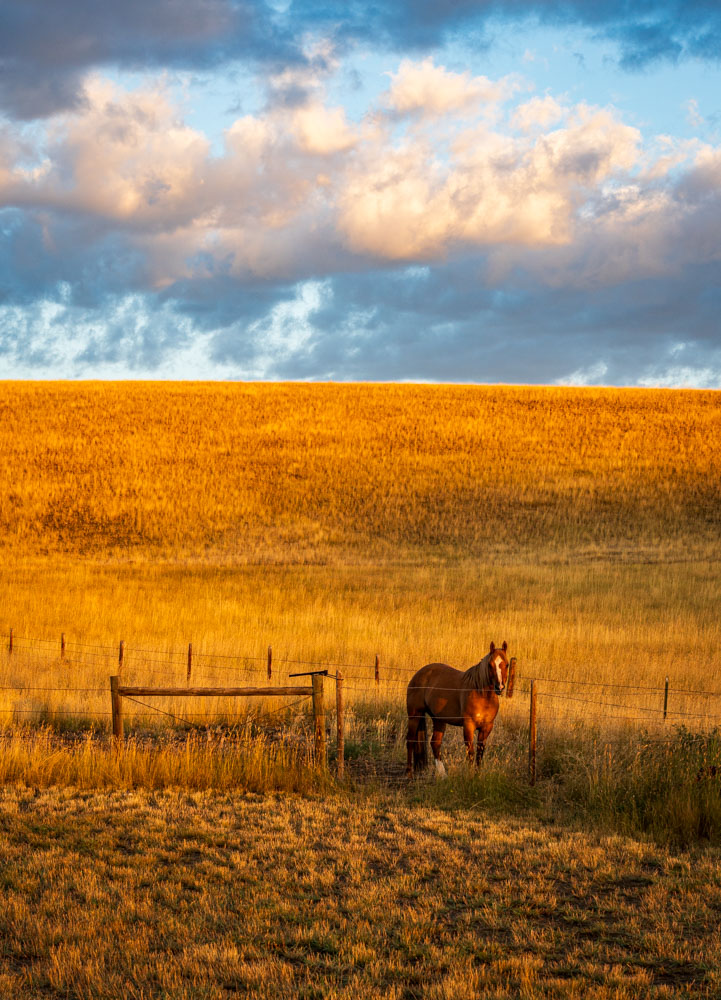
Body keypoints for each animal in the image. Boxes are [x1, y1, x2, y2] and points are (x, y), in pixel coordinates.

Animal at [402, 644, 516, 776]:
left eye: (506, 664)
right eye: (490, 665)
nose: (500, 687)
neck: (481, 694)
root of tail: (419, 674)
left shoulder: (487, 727)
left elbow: (480, 753)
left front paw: (477, 775)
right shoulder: (468, 726)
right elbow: (470, 752)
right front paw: (470, 775)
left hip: (439, 719)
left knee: (435, 743)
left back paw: (443, 775)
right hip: (415, 715)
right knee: (410, 741)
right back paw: (409, 772)